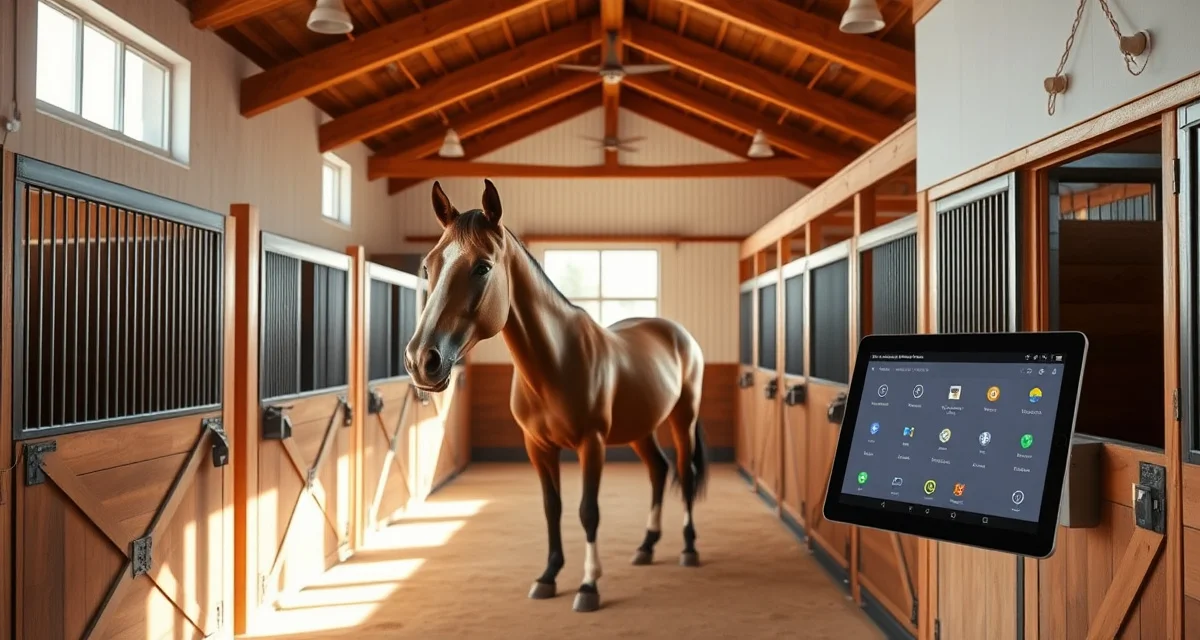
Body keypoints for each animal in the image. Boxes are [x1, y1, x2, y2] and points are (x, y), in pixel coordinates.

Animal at [404, 180, 710, 613]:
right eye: (428, 267)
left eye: (482, 267)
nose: (421, 360)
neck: (556, 363)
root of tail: (678, 334)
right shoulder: (538, 447)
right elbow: (553, 508)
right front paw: (548, 576)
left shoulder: (591, 445)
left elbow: (588, 512)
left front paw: (588, 586)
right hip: (640, 428)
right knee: (659, 470)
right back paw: (647, 546)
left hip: (683, 419)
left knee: (684, 473)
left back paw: (687, 548)